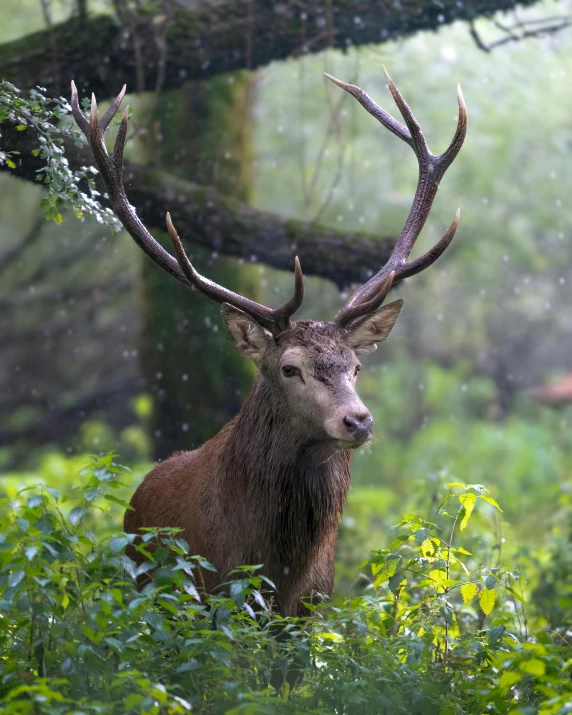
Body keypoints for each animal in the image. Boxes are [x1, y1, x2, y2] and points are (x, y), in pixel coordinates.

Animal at [71, 67, 466, 620]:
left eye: (356, 367)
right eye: (289, 368)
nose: (358, 420)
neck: (276, 569)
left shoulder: (314, 609)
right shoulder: (211, 601)